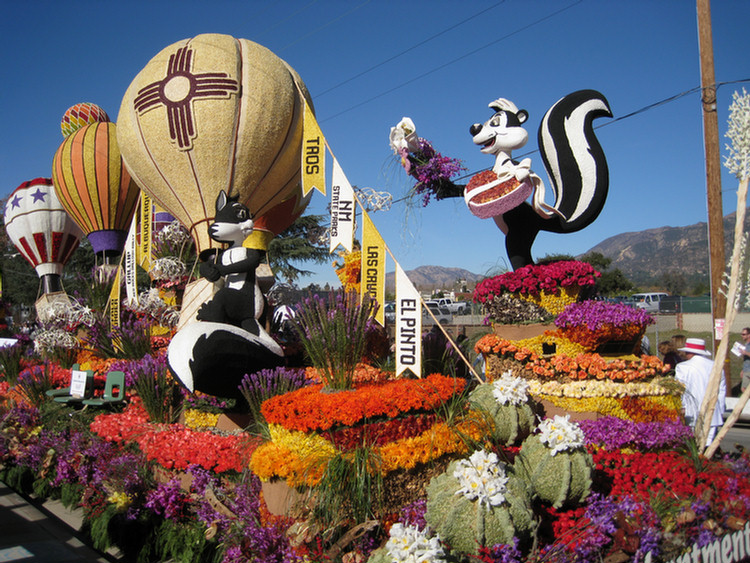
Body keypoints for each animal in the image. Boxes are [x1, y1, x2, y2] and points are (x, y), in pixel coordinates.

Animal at [456, 90, 612, 270]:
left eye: (495, 122)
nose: (474, 128)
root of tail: (540, 218)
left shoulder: (512, 166)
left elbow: (520, 171)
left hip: (517, 235)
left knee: (521, 259)